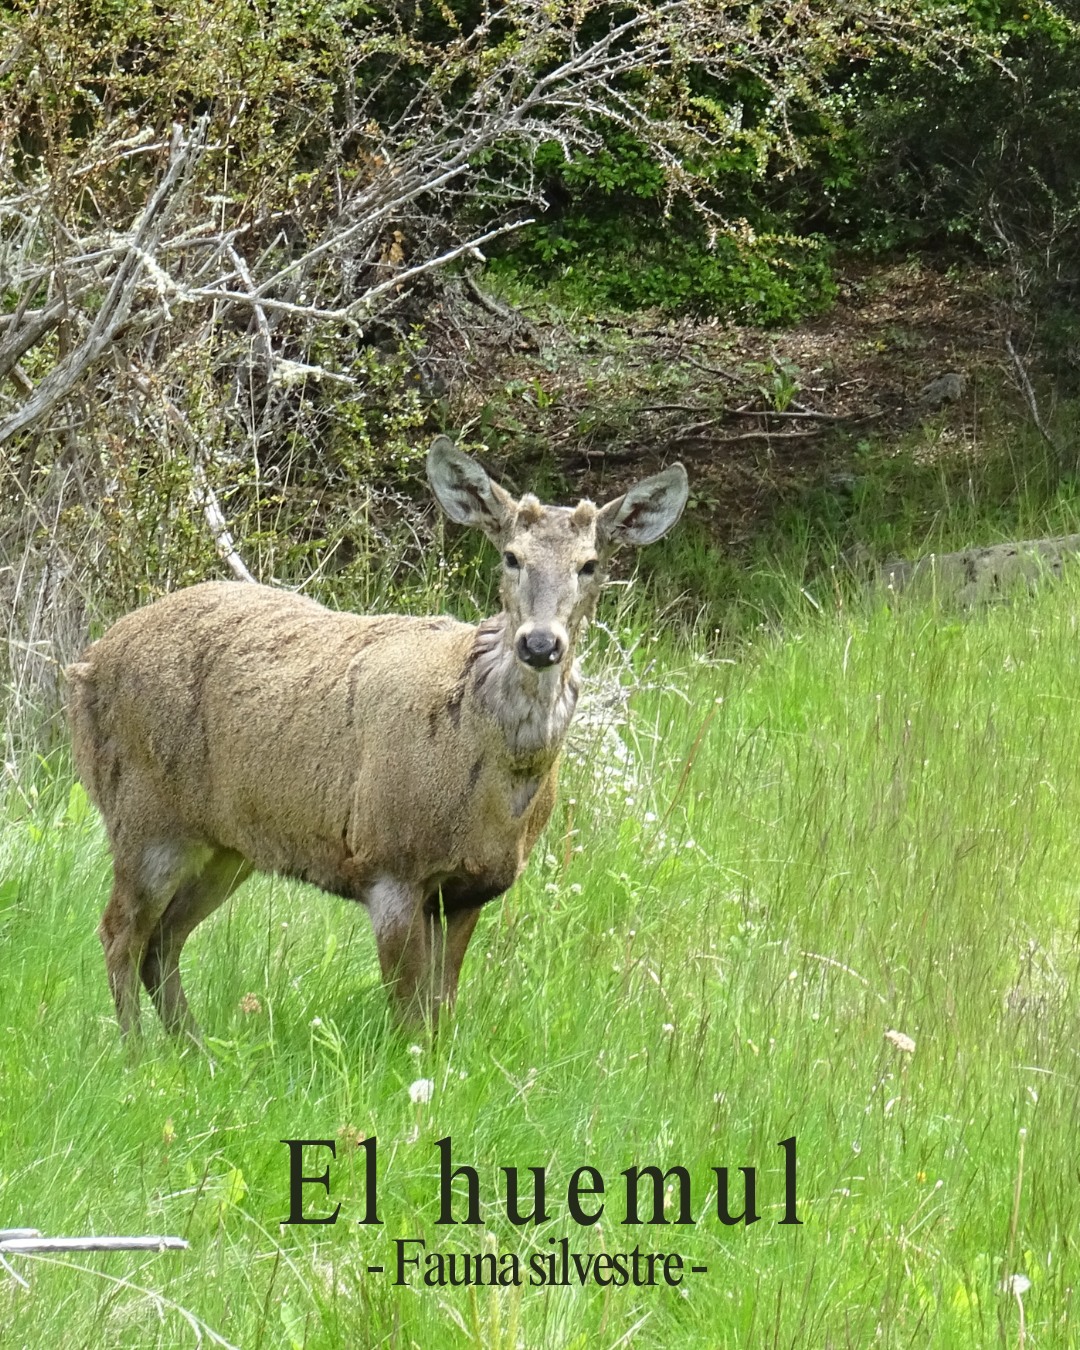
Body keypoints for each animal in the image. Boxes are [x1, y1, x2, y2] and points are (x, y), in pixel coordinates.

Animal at [67, 437, 688, 1042]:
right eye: (512, 556)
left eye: (590, 564)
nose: (540, 644)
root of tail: (88, 661)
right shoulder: (389, 862)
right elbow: (406, 1018)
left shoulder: (471, 888)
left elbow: (439, 1017)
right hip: (144, 818)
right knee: (119, 932)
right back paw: (137, 1053)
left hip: (226, 841)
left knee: (163, 940)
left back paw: (196, 1052)